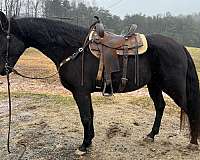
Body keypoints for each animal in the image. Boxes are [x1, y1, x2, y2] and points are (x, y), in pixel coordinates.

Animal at [0, 11, 200, 154]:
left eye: (2, 39)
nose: (3, 70)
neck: (74, 49)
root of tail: (180, 47)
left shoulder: (80, 92)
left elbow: (85, 116)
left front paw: (83, 146)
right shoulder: (84, 93)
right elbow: (90, 115)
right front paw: (89, 141)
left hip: (173, 87)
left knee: (190, 109)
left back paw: (192, 142)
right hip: (155, 85)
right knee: (160, 106)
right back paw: (151, 135)